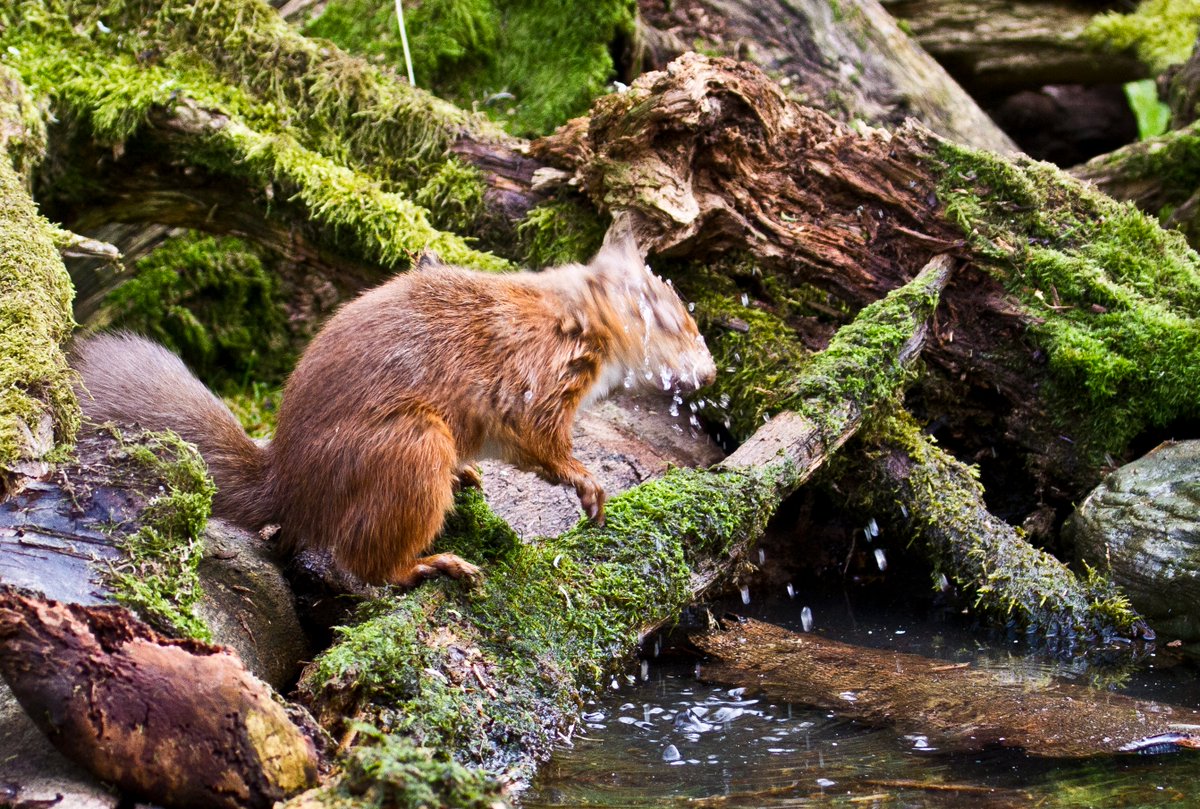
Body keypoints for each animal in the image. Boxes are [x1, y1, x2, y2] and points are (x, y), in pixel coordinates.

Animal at [72, 223, 710, 583]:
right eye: (663, 316)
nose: (708, 370)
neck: (569, 315)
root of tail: (290, 488)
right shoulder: (536, 380)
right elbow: (540, 441)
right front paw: (585, 481)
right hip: (411, 449)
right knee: (369, 566)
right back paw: (434, 563)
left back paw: (464, 478)